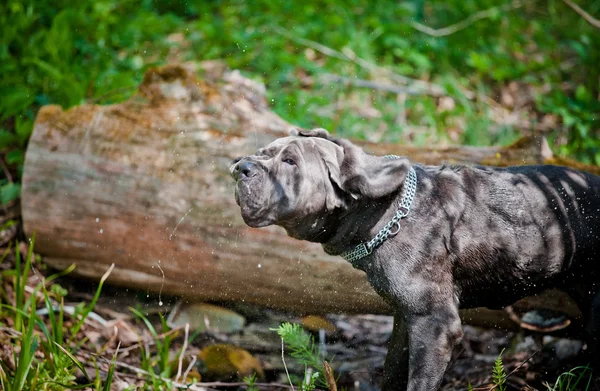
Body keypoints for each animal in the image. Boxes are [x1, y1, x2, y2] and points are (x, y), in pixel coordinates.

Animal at [230, 129, 600, 391]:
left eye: (290, 161)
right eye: (262, 154)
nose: (240, 167)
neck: (385, 210)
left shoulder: (435, 323)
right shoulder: (406, 320)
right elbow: (392, 373)